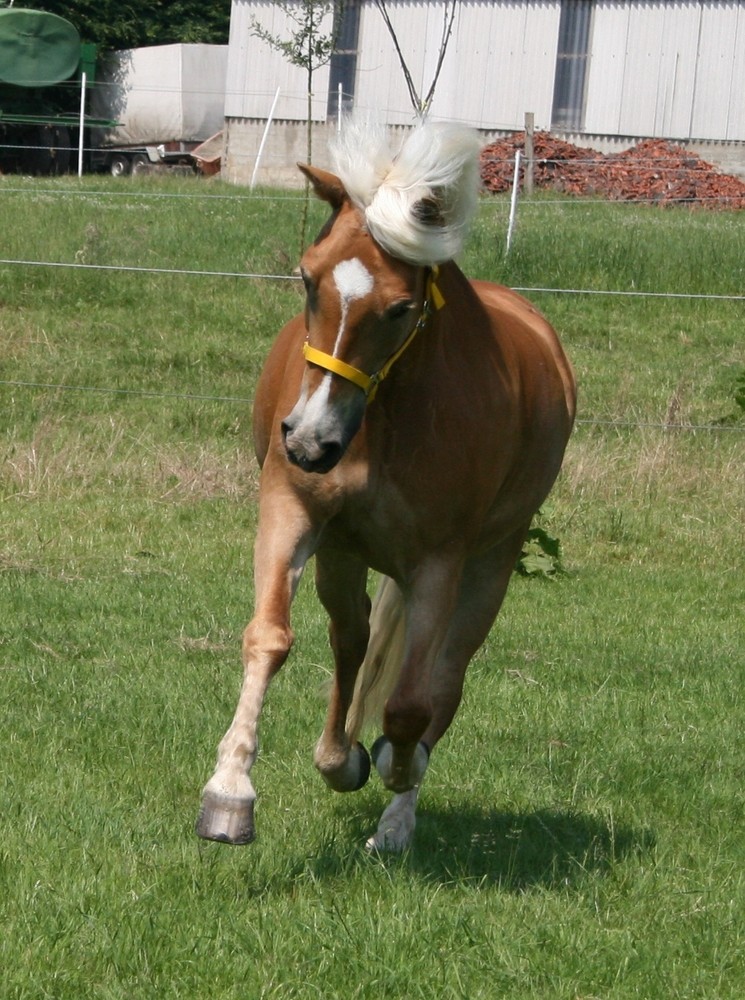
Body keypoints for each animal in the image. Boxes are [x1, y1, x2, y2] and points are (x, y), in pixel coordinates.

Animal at [193, 117, 576, 852]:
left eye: (400, 308)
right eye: (307, 279)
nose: (309, 440)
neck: (383, 423)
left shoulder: (440, 563)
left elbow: (409, 705)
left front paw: (398, 769)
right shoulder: (291, 512)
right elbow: (269, 639)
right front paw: (229, 792)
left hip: (491, 562)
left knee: (443, 679)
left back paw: (396, 813)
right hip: (343, 556)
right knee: (352, 640)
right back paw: (339, 758)